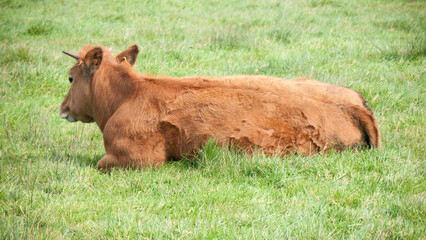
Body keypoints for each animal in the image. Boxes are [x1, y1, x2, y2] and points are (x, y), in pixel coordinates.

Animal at [58, 44, 382, 171]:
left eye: (70, 77)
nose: (62, 108)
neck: (127, 95)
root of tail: (356, 105)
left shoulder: (136, 157)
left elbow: (97, 163)